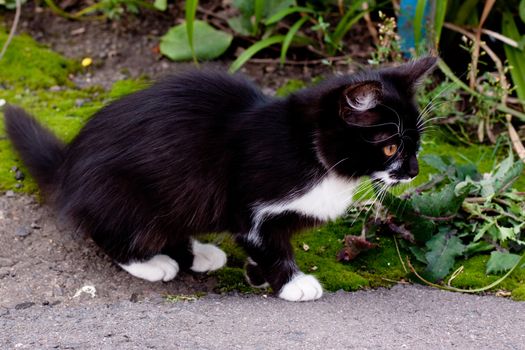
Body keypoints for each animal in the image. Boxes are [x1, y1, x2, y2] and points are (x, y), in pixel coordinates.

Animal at [6, 56, 436, 300]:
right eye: (390, 149)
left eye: (416, 144)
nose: (413, 171)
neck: (309, 150)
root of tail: (68, 166)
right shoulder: (252, 201)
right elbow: (267, 242)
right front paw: (292, 283)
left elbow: (263, 245)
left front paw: (256, 274)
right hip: (125, 193)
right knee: (112, 230)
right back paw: (152, 263)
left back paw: (199, 253)